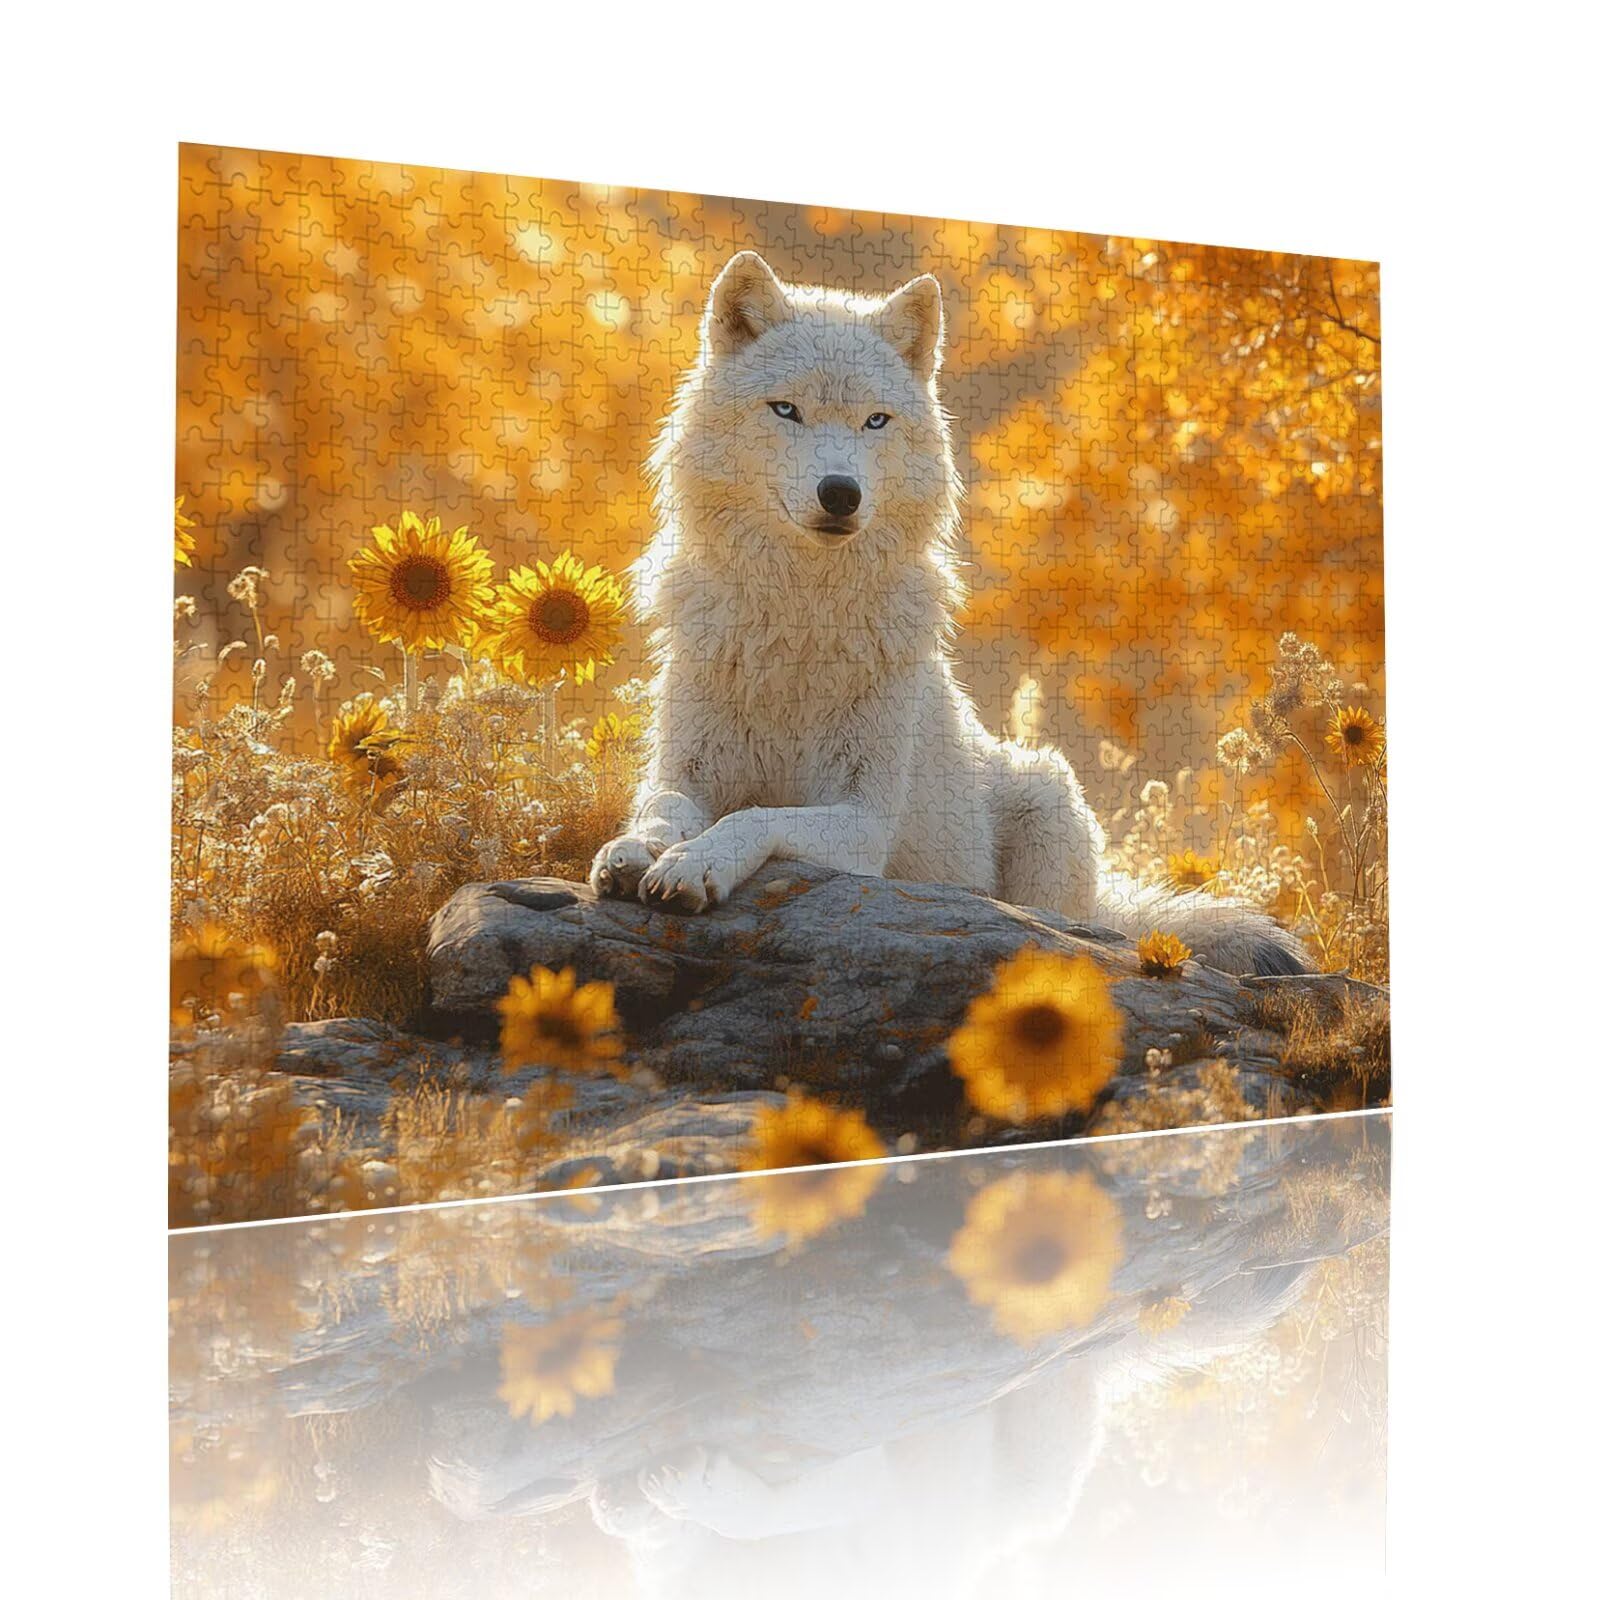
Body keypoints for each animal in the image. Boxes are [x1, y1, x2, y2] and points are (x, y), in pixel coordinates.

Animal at [589, 251, 1306, 976]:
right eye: (786, 410)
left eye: (875, 421)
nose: (841, 493)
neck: (801, 619)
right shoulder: (683, 771)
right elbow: (661, 810)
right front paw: (631, 852)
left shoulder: (864, 820)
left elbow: (752, 818)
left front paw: (692, 866)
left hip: (1048, 800)